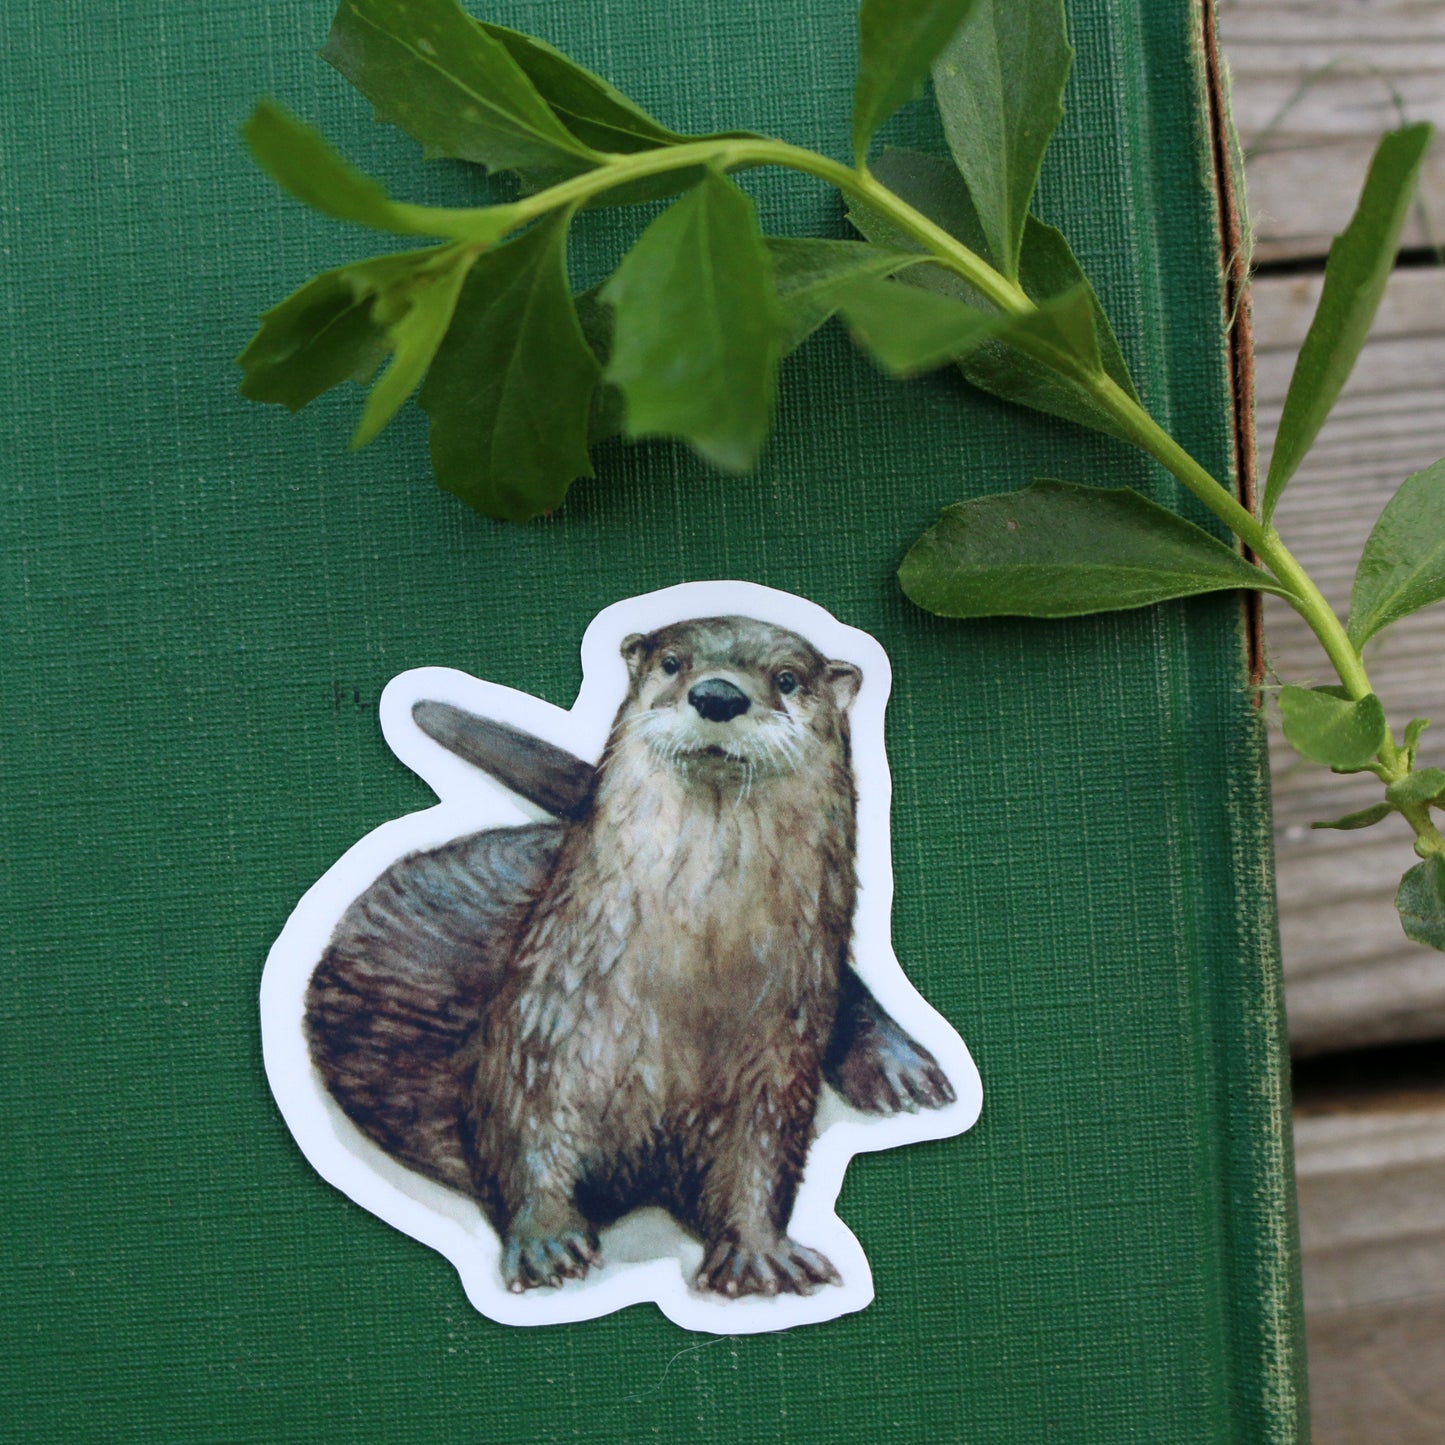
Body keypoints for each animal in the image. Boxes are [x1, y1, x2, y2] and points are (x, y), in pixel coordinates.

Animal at [305, 615, 954, 1299]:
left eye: (787, 679)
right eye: (671, 662)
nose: (718, 694)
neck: (692, 994)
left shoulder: (782, 1050)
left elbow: (763, 1154)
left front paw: (759, 1256)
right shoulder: (543, 1022)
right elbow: (521, 1126)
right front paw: (547, 1242)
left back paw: (900, 1068)